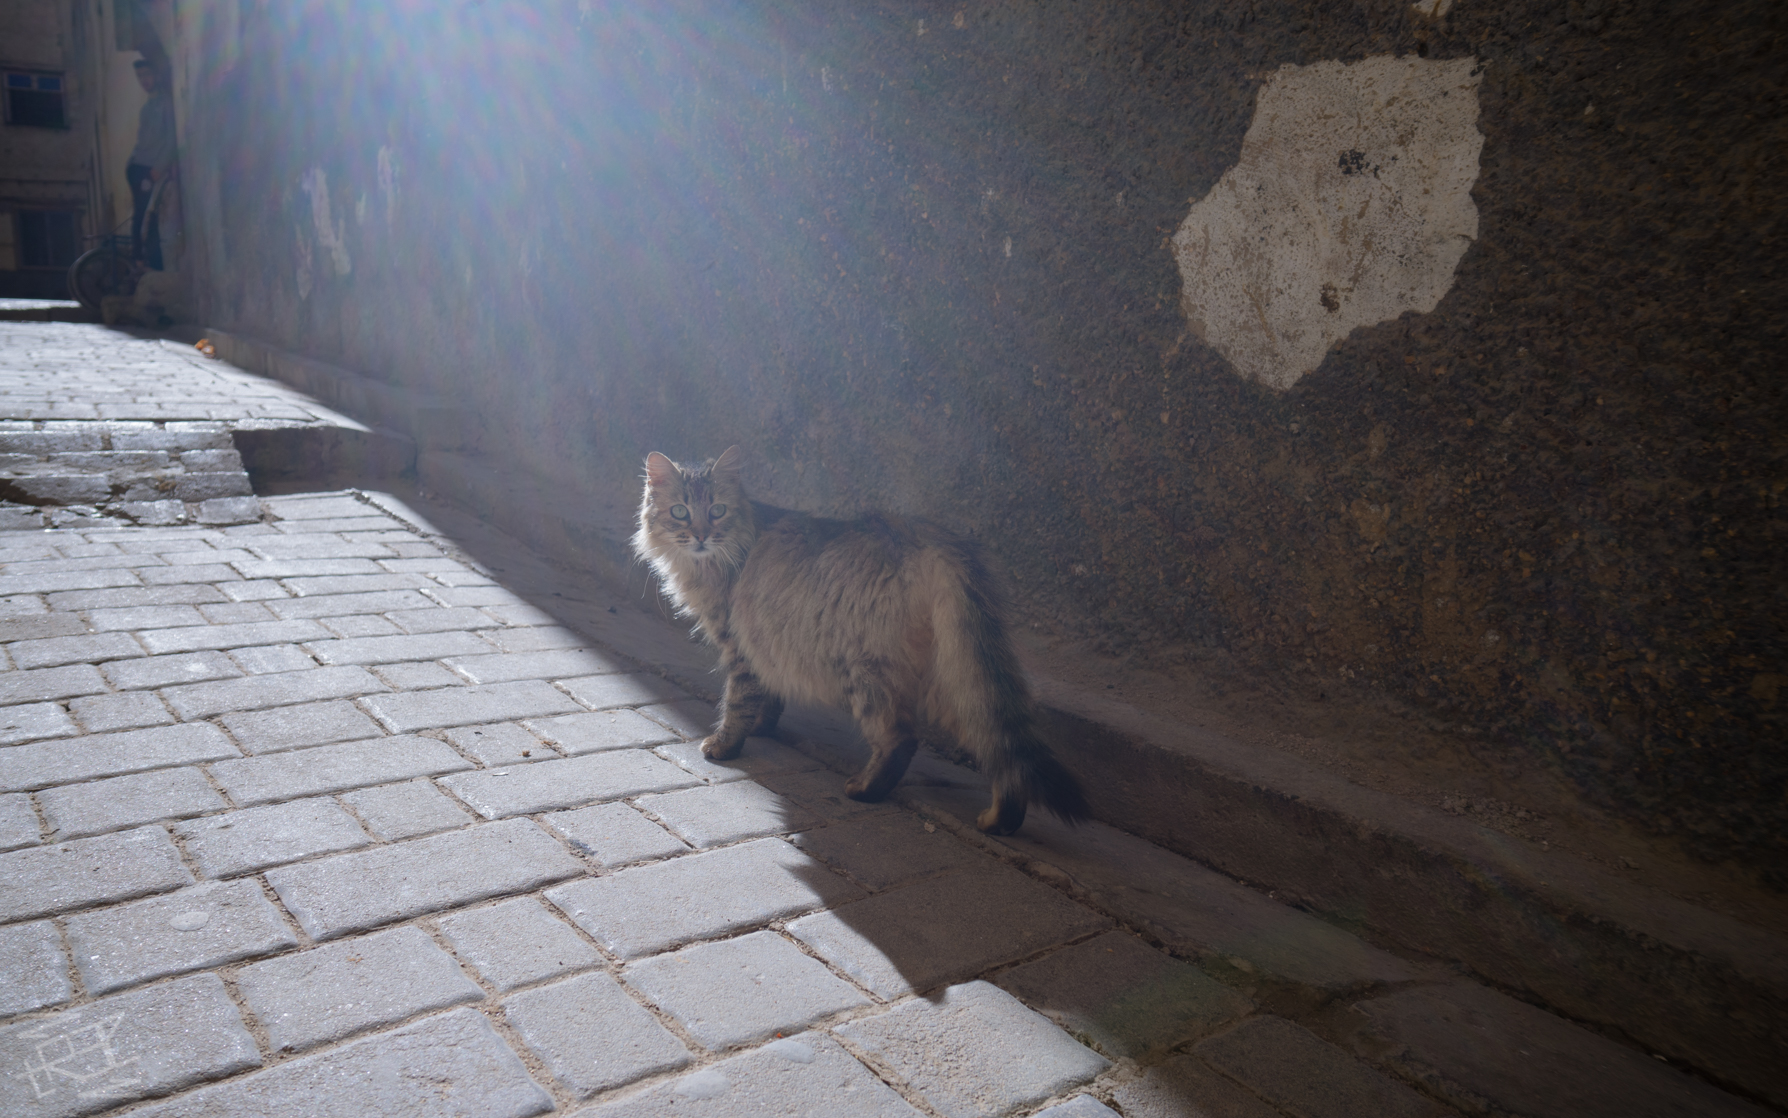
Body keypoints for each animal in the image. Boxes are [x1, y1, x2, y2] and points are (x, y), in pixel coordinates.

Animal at [643, 441, 1087, 830]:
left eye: (717, 510)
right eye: (680, 512)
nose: (701, 535)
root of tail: (931, 540)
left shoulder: (739, 646)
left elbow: (737, 703)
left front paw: (724, 746)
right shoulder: (766, 644)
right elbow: (769, 696)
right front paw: (762, 726)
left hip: (868, 670)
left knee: (903, 738)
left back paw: (865, 790)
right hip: (955, 675)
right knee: (1001, 752)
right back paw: (1000, 822)